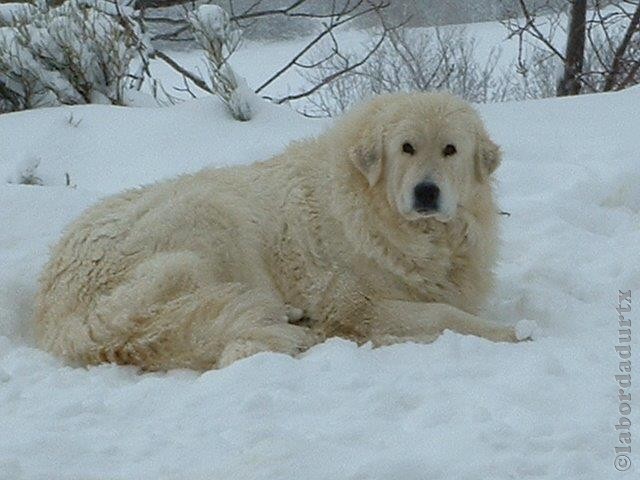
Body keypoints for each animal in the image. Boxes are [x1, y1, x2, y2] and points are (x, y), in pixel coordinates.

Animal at [35, 92, 524, 370]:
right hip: (205, 218)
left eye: (450, 150)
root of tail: (58, 313)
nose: (426, 192)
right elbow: (444, 315)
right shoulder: (357, 303)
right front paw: (511, 333)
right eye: (406, 148)